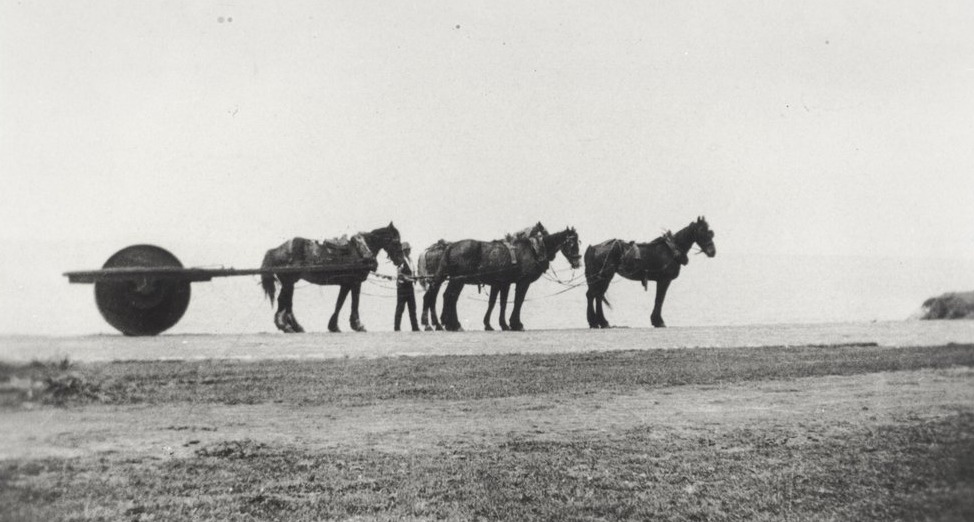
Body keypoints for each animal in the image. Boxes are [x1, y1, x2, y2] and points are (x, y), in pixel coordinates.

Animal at [260, 222, 405, 333]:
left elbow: (340, 302)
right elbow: (351, 302)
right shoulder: (354, 282)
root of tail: (276, 250)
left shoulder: (347, 283)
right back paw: (284, 325)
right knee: (283, 301)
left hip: (290, 283)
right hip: (288, 281)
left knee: (287, 302)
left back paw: (295, 326)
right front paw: (356, 325)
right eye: (396, 241)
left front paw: (334, 326)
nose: (401, 261)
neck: (361, 250)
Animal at [433, 226, 581, 331]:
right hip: (458, 280)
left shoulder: (503, 283)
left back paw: (451, 323)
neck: (531, 250)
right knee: (450, 296)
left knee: (450, 297)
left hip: (457, 280)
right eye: (572, 243)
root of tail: (451, 246)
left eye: (579, 242)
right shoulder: (522, 282)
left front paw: (499, 324)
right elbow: (518, 301)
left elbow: (500, 303)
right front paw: (516, 324)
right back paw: (452, 324)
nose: (578, 262)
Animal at [585, 216, 715, 328]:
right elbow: (659, 299)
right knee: (596, 295)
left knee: (594, 295)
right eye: (702, 231)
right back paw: (600, 322)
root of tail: (594, 247)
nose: (712, 252)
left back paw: (597, 322)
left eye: (711, 232)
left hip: (599, 277)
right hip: (605, 276)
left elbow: (659, 299)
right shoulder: (664, 280)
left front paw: (656, 320)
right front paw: (658, 321)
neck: (671, 250)